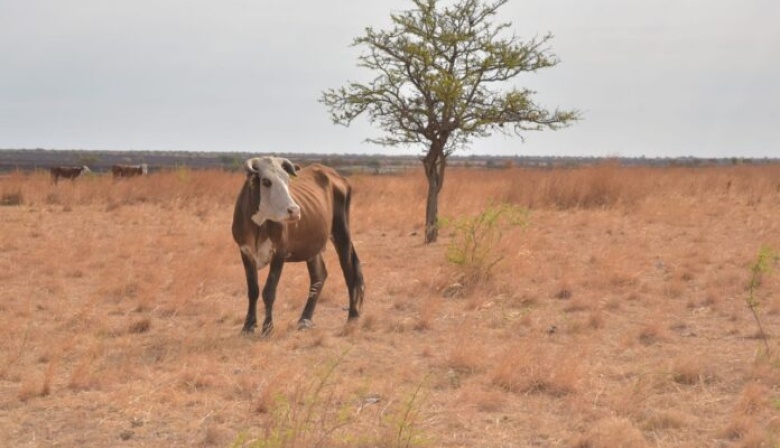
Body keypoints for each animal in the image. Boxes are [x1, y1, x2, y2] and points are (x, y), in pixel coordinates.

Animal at [232, 156, 366, 334]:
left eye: (287, 180)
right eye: (266, 181)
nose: (294, 210)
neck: (259, 225)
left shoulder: (279, 253)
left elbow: (269, 291)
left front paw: (268, 327)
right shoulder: (246, 252)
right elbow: (253, 290)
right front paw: (248, 326)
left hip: (341, 233)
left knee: (349, 273)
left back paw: (352, 316)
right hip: (314, 247)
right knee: (319, 276)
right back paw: (305, 319)